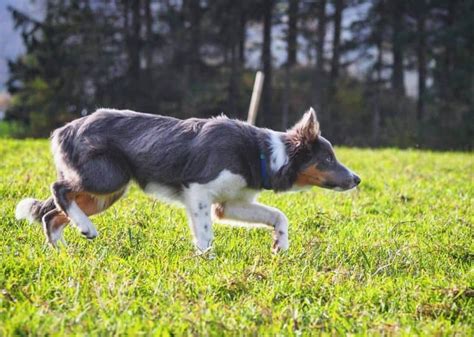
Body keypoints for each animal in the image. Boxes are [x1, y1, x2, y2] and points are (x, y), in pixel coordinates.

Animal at [16, 107, 362, 252]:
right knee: (58, 189)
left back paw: (63, 251)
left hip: (105, 192)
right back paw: (85, 229)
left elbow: (279, 216)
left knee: (51, 215)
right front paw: (207, 260)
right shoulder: (198, 193)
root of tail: (64, 129)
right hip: (107, 177)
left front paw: (281, 244)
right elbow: (205, 234)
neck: (263, 154)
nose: (357, 179)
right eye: (328, 159)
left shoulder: (229, 203)